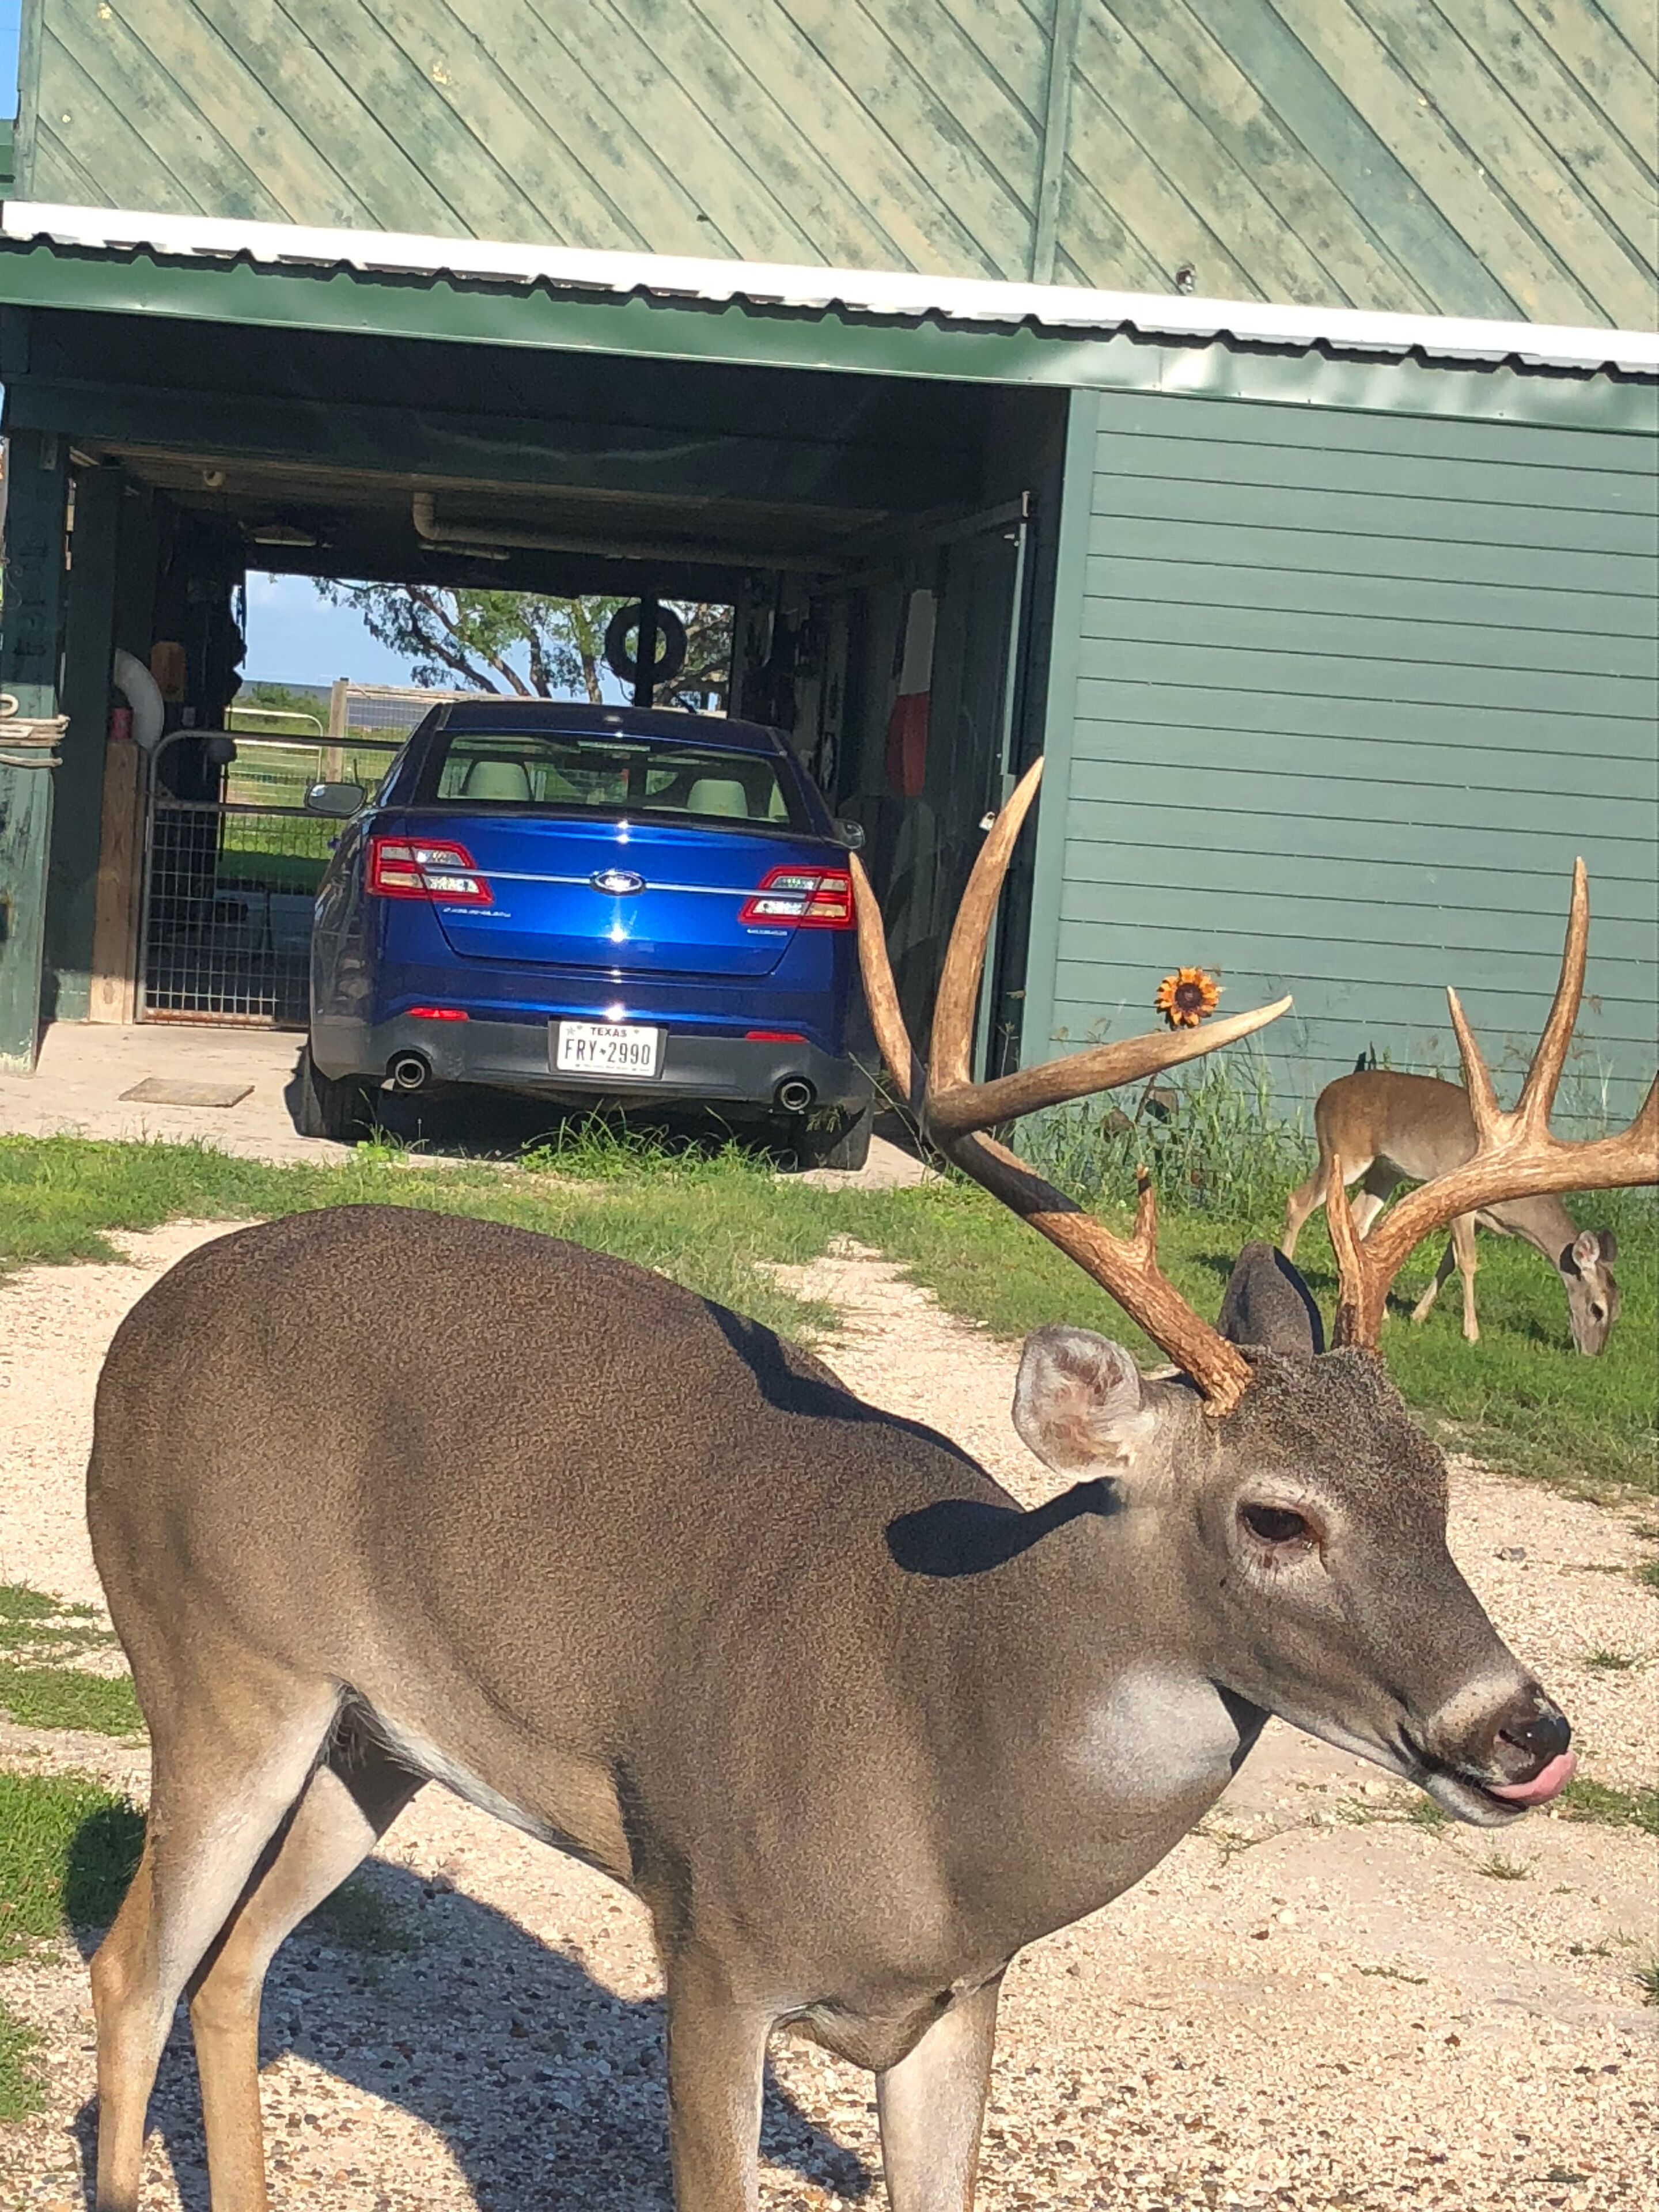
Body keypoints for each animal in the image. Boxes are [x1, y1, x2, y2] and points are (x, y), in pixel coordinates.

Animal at [1283, 1069, 1622, 1353]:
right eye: (1597, 1309)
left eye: (1618, 1309)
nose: (1593, 1353)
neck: (1514, 1209)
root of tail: (1323, 1095)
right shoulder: (1463, 1208)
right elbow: (1468, 1262)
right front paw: (1472, 1333)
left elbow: (1448, 1262)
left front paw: (1419, 1314)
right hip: (1343, 1153)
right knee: (1299, 1202)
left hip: (1385, 1170)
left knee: (1358, 1220)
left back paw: (1381, 1310)